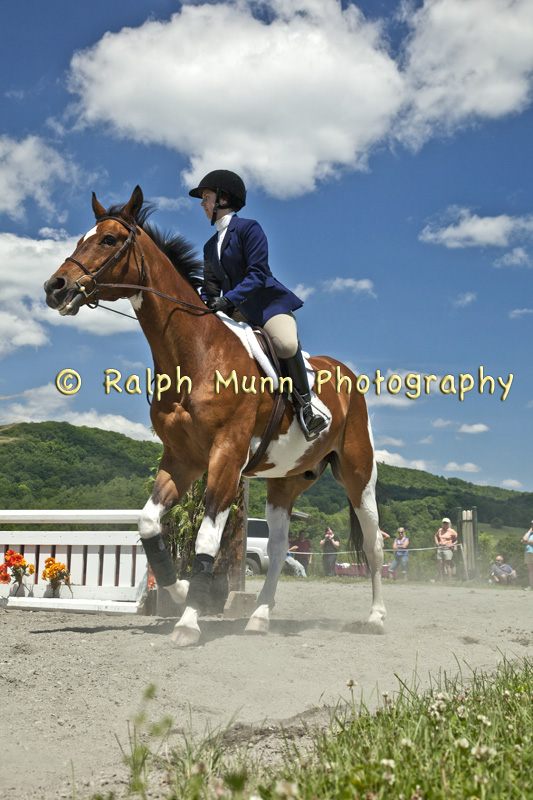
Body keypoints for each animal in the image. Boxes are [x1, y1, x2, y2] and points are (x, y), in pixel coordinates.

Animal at [43, 186, 384, 644]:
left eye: (109, 240)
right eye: (83, 238)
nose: (55, 288)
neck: (196, 353)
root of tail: (347, 374)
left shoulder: (226, 455)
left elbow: (206, 540)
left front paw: (189, 620)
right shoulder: (182, 458)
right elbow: (149, 526)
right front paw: (182, 591)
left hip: (358, 473)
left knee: (372, 543)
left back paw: (376, 618)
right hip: (285, 480)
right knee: (278, 549)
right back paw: (259, 617)